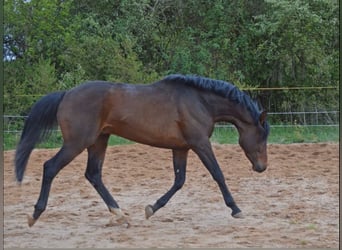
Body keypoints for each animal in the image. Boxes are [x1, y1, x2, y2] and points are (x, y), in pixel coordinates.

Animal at [14, 73, 268, 227]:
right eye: (262, 136)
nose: (262, 167)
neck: (200, 102)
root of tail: (66, 94)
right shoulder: (200, 144)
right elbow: (218, 174)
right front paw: (236, 209)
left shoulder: (181, 148)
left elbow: (179, 181)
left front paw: (151, 209)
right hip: (77, 142)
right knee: (50, 167)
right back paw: (34, 215)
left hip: (99, 141)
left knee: (93, 174)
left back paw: (120, 214)